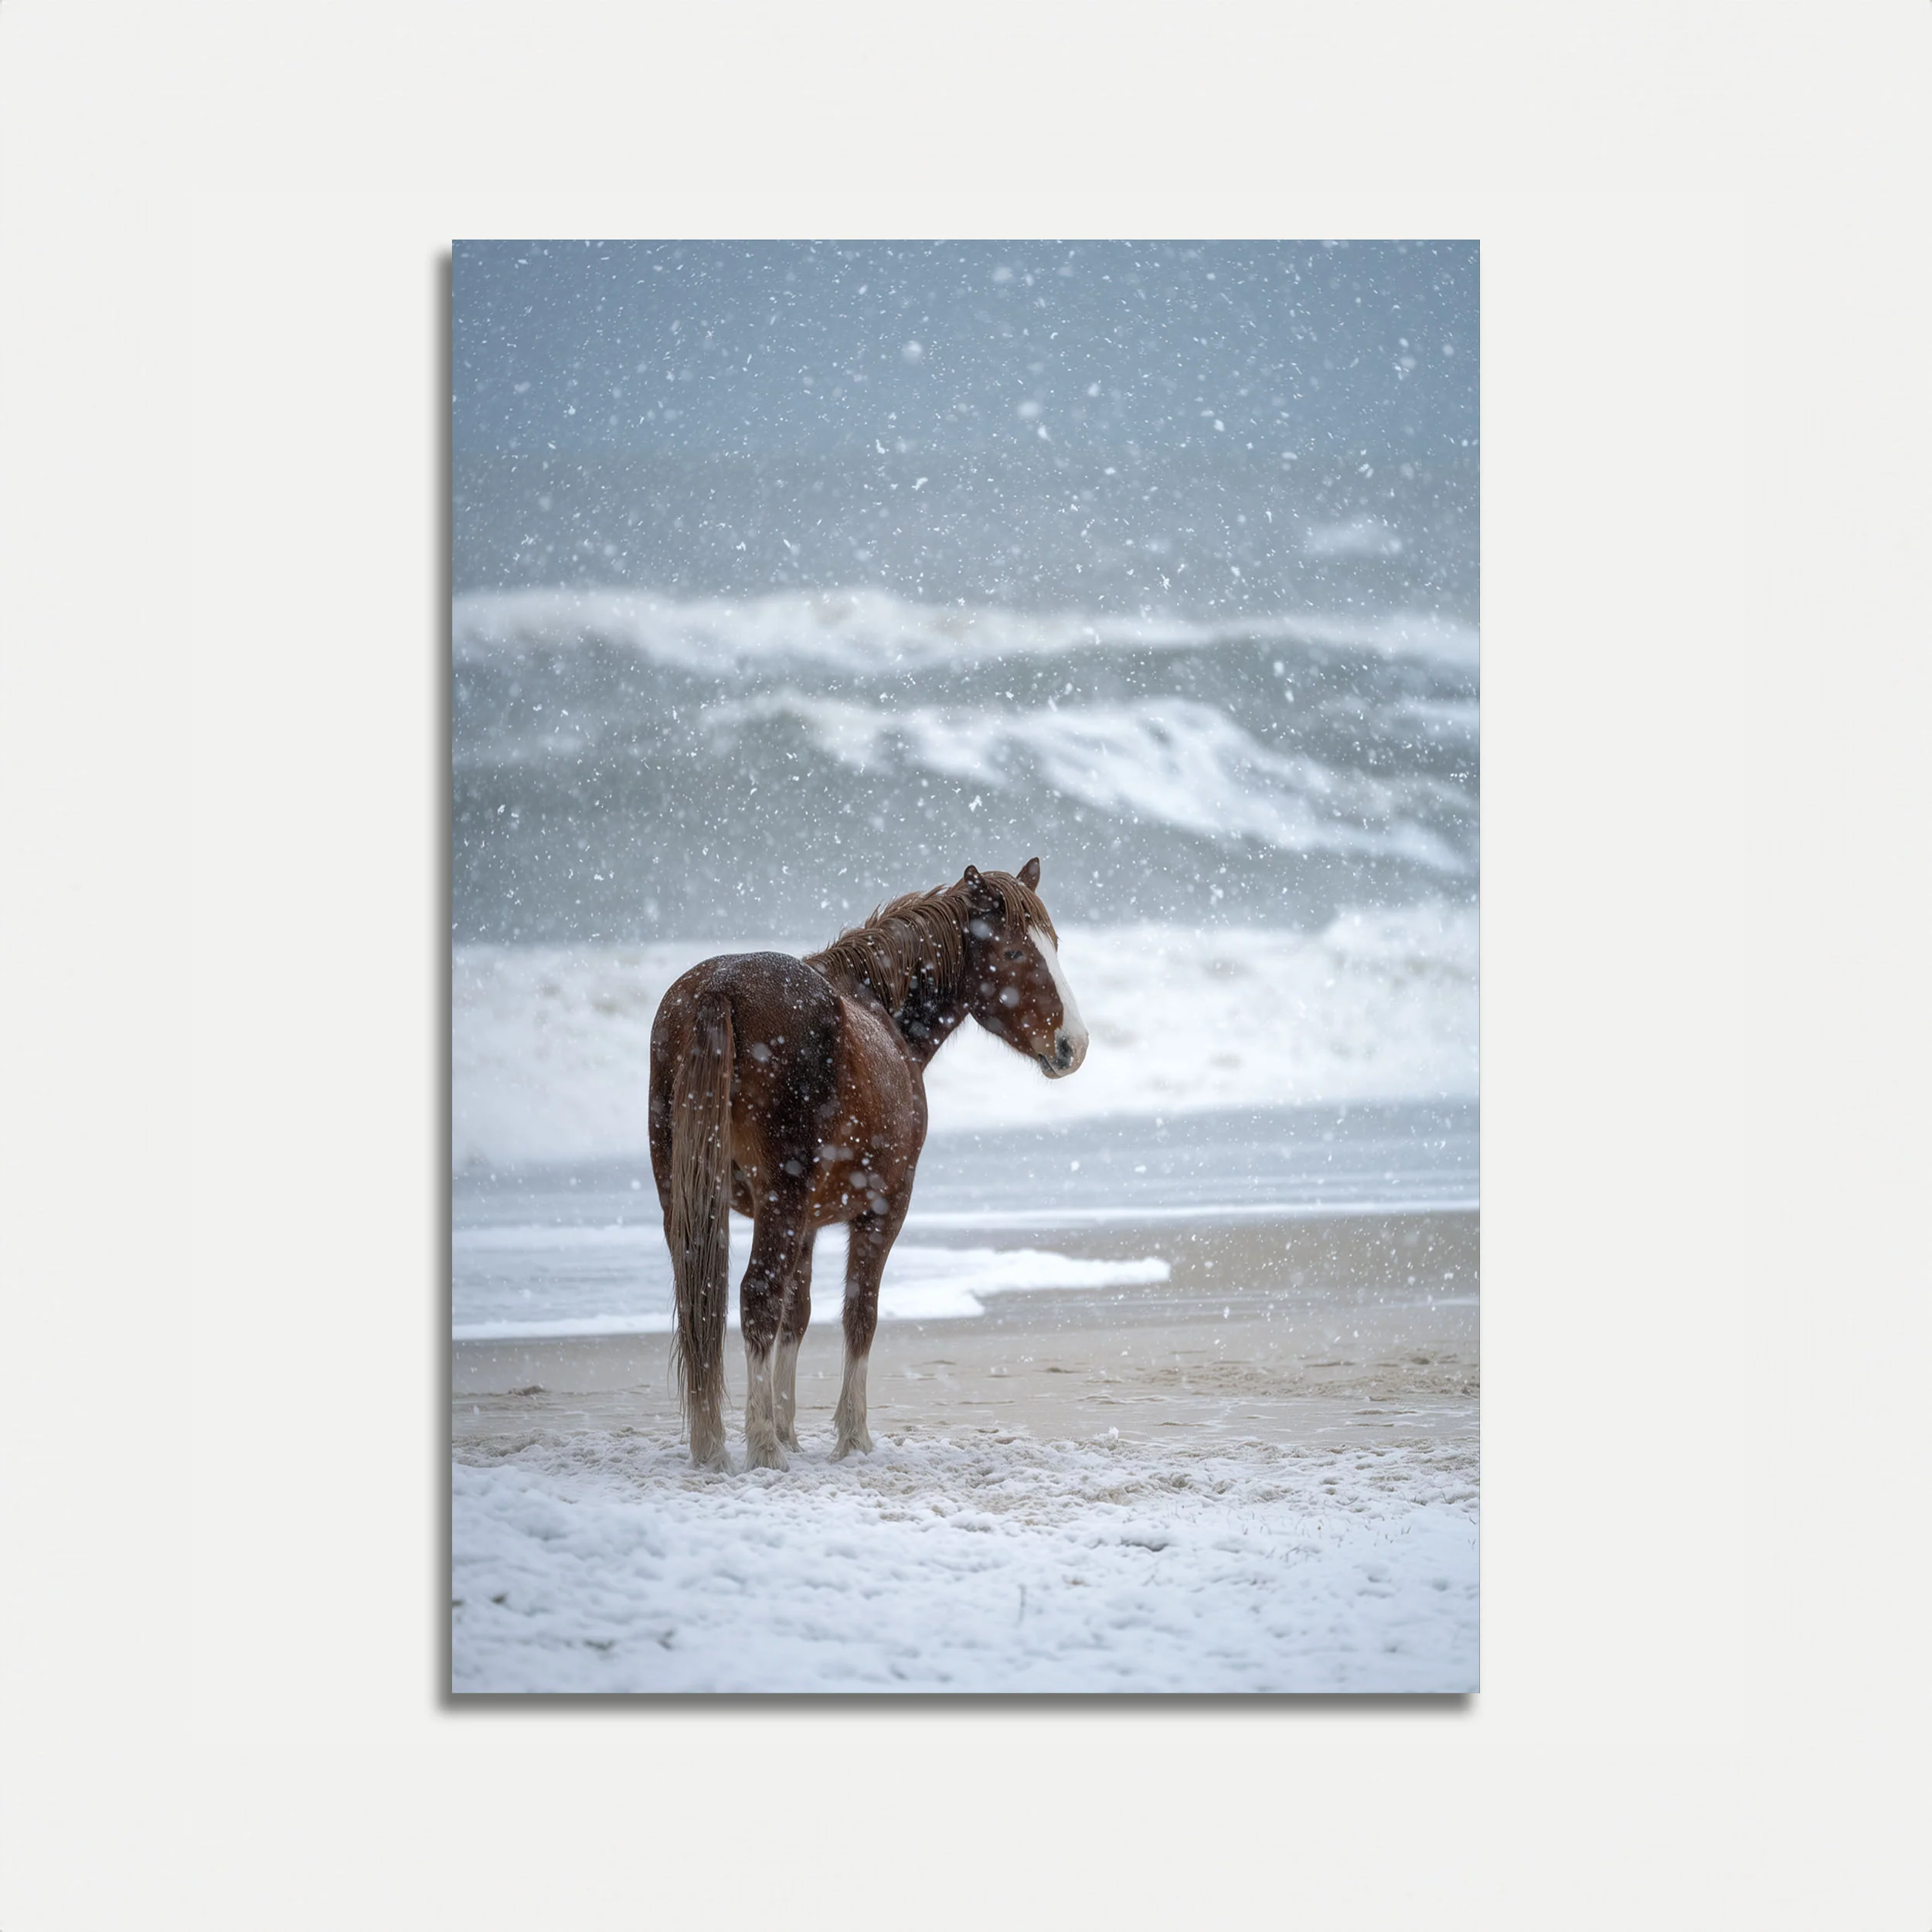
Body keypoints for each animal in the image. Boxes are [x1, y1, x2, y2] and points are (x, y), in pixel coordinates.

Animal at [648, 858, 1089, 1471]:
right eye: (1016, 953)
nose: (1075, 1044)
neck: (880, 1014)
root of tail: (718, 989)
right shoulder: (883, 1209)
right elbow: (860, 1314)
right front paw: (850, 1437)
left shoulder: (805, 1225)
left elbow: (799, 1314)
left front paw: (790, 1429)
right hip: (780, 1204)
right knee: (755, 1296)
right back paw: (761, 1448)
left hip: (689, 1201)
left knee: (704, 1302)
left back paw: (714, 1443)